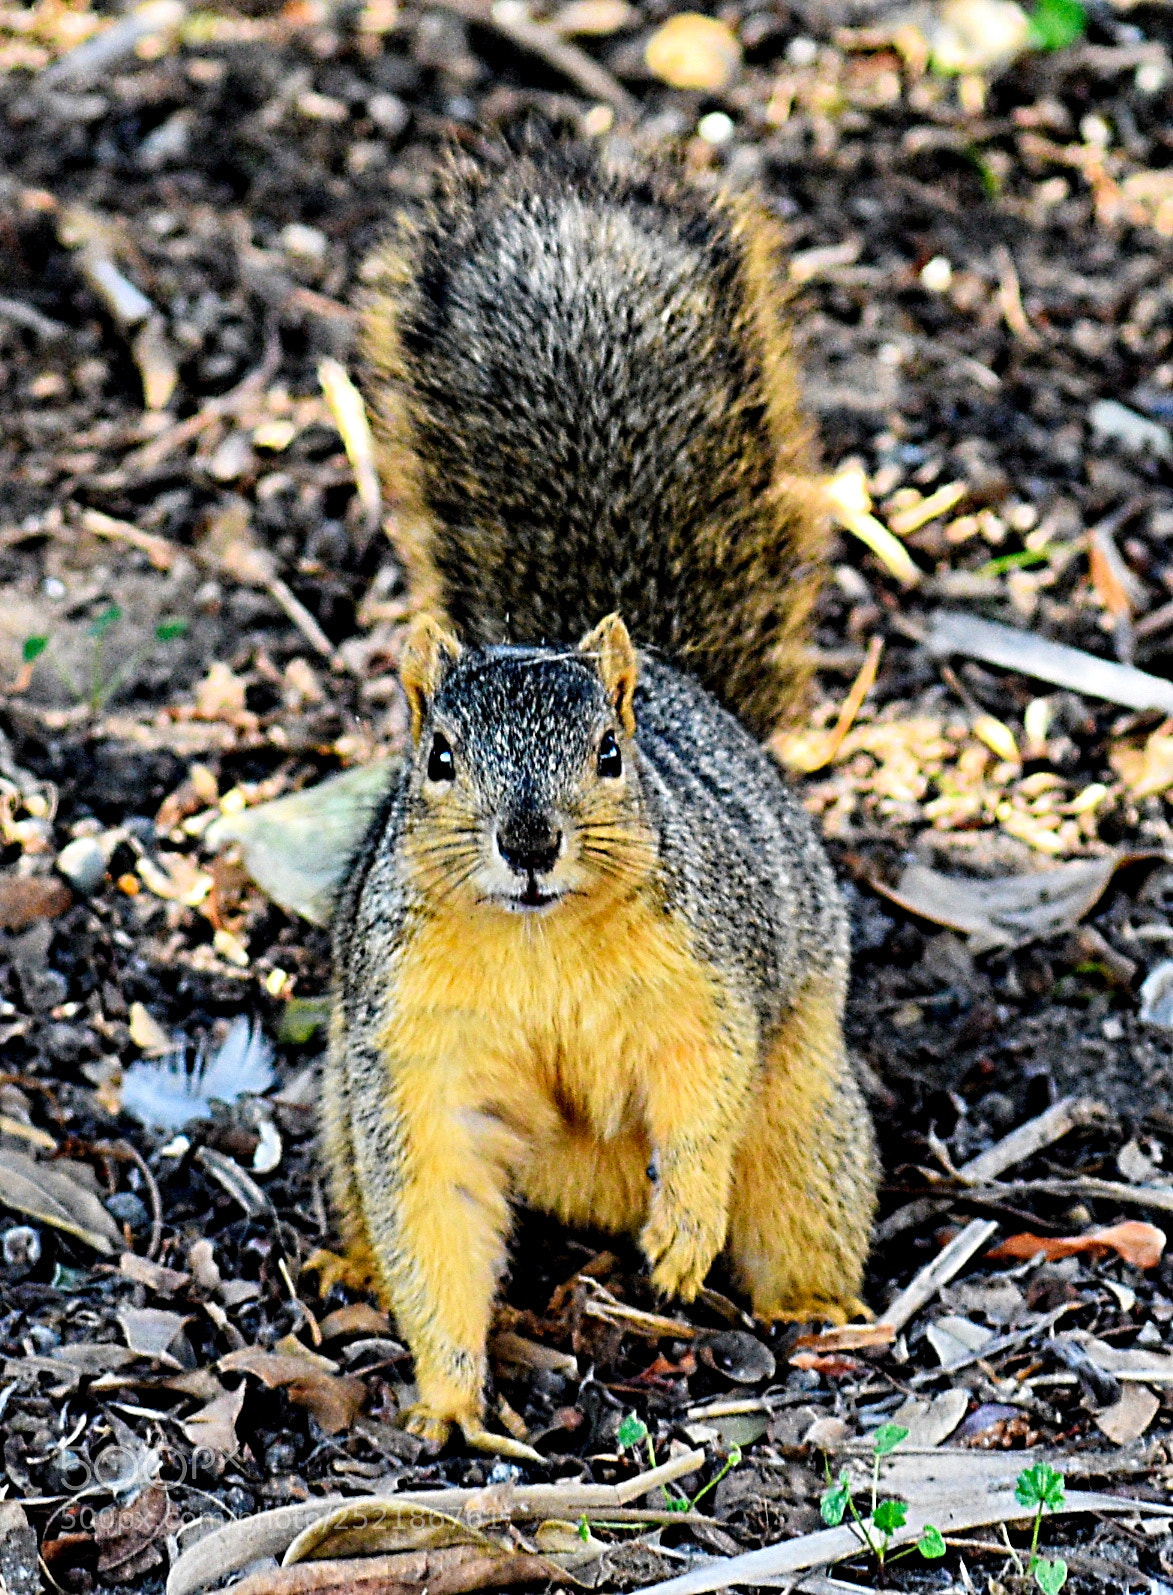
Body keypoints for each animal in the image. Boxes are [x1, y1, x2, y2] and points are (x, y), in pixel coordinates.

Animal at [319, 145, 878, 1456]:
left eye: (611, 755)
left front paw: (683, 1231)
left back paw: (815, 1306)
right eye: (438, 758)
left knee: (790, 1180)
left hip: (807, 1116)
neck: (537, 943)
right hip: (334, 1112)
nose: (530, 840)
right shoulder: (408, 1051)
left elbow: (704, 1092)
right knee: (373, 1200)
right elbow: (432, 1195)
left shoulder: (705, 976)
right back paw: (353, 1269)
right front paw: (451, 1398)